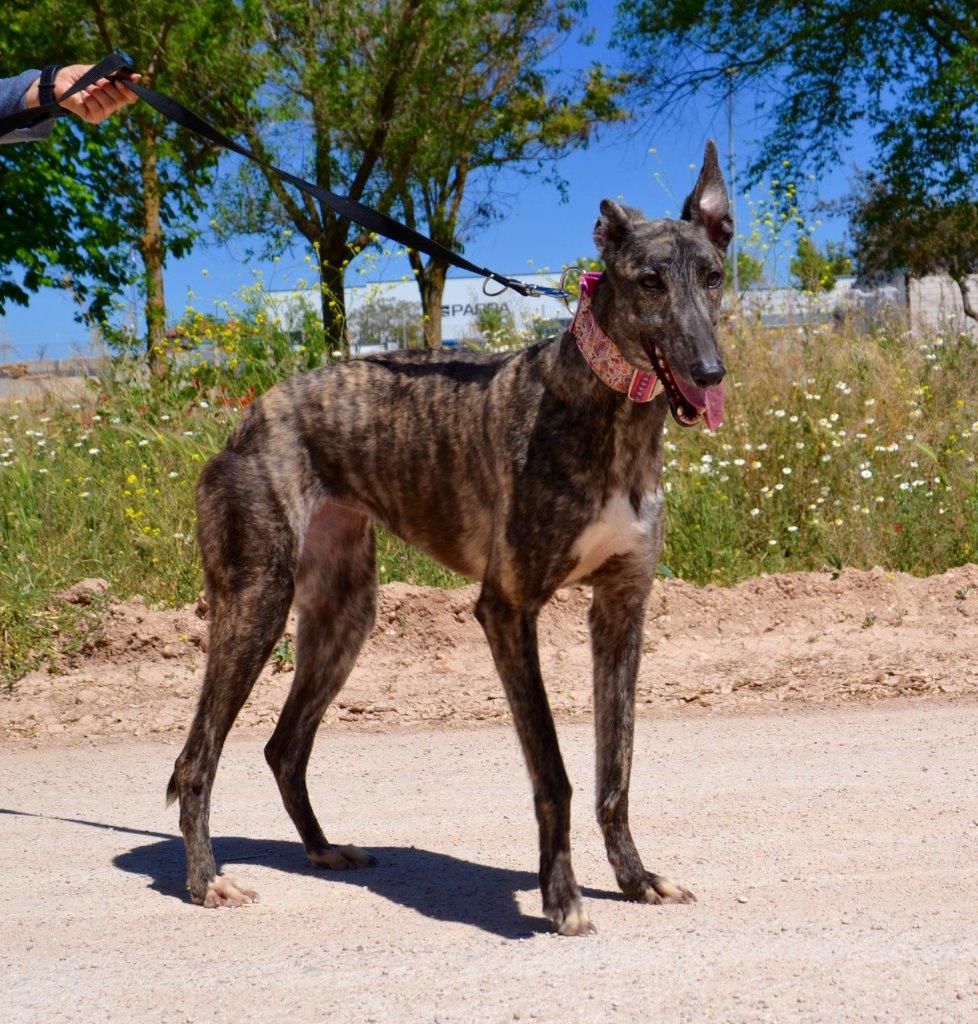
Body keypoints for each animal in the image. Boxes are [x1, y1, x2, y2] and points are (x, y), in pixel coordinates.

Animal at [167, 140, 733, 933]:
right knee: (197, 758)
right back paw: (205, 880)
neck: (608, 413)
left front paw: (636, 878)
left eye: (713, 277)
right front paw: (560, 899)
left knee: (284, 747)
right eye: (649, 280)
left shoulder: (622, 609)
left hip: (344, 613)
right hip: (256, 599)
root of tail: (250, 416)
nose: (710, 373)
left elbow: (615, 768)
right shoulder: (507, 609)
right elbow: (554, 772)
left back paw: (324, 850)